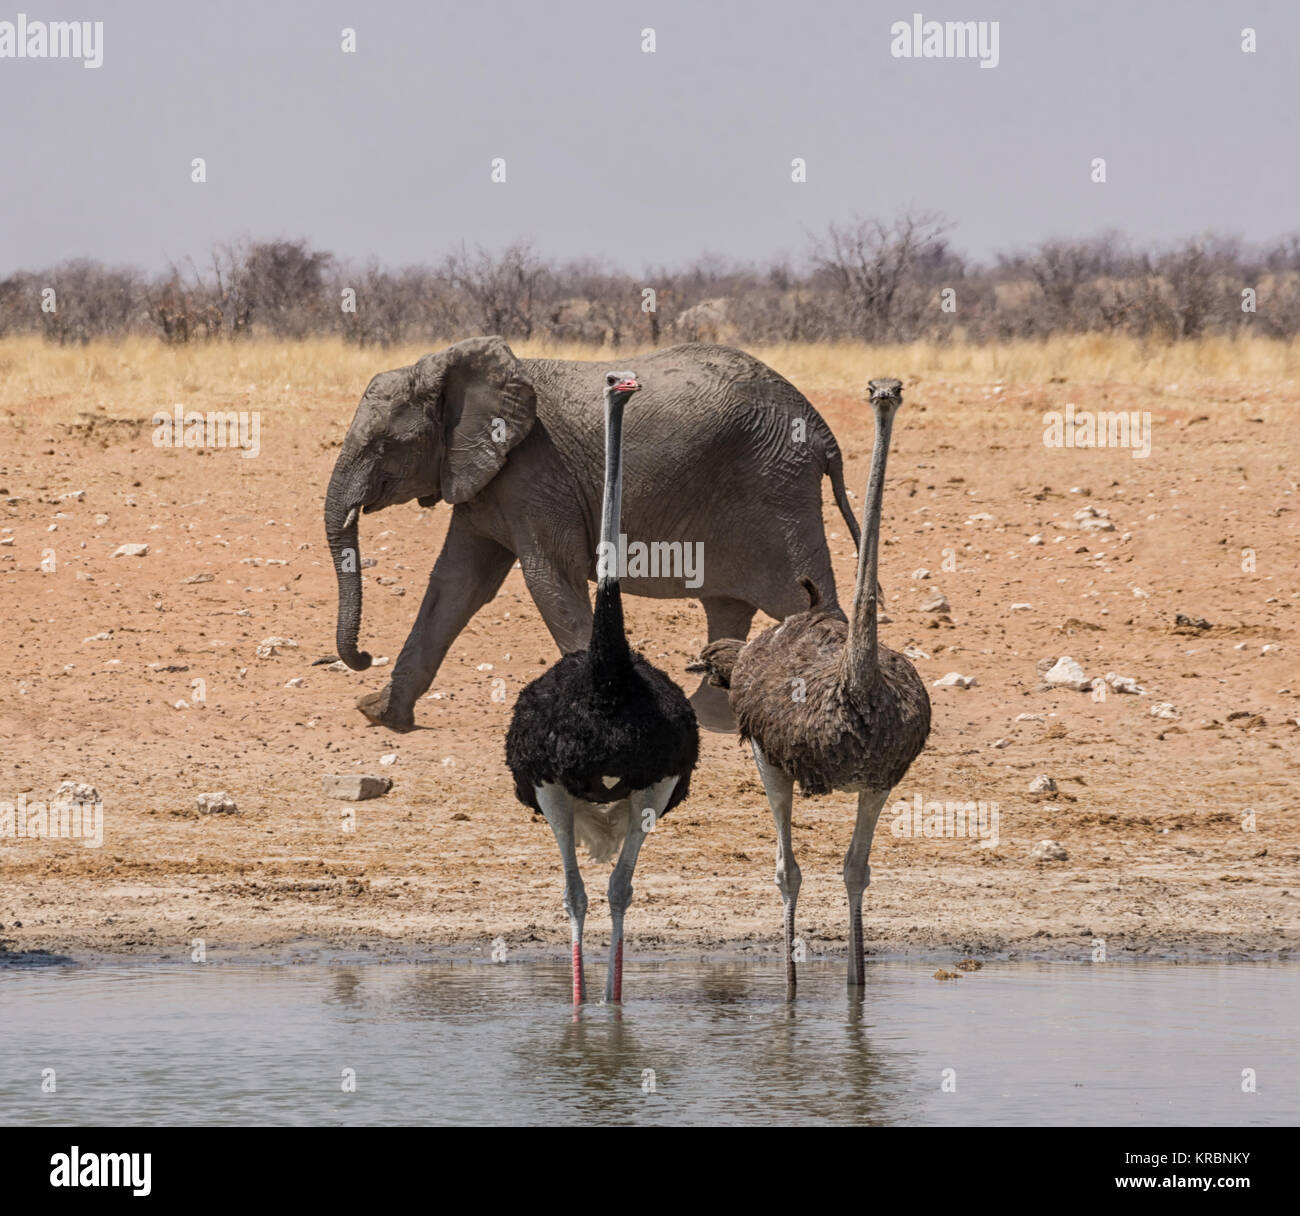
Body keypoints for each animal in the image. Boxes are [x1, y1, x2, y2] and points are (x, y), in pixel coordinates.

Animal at [324, 336, 861, 732]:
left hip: (778, 490)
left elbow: (549, 582)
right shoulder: (485, 479)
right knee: (728, 606)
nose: (364, 656)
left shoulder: (536, 473)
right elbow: (455, 585)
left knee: (807, 603)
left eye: (384, 445)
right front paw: (380, 714)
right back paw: (711, 718)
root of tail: (822, 430)